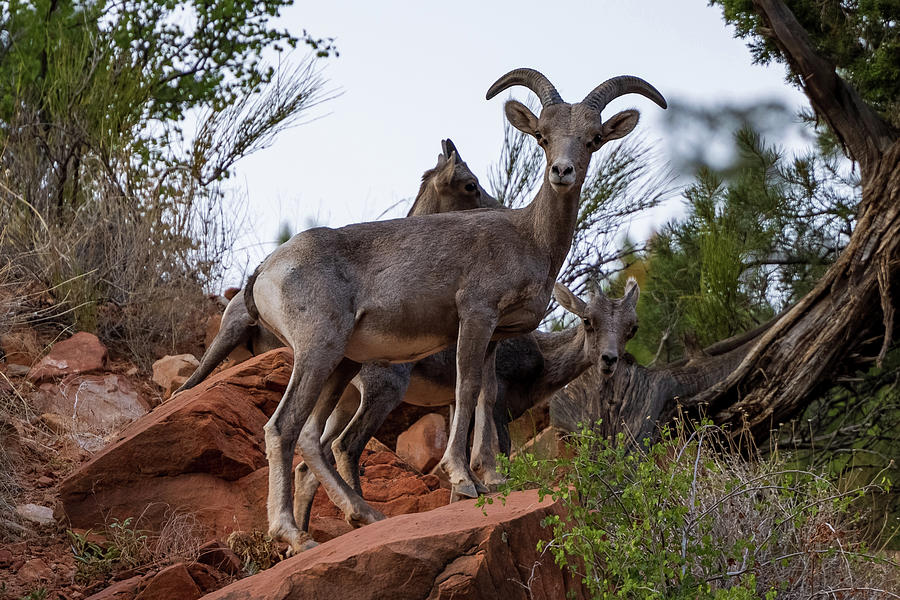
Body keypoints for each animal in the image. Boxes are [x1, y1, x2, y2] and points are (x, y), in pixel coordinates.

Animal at [290, 278, 640, 532]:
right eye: (588, 320)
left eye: (631, 328)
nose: (609, 360)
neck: (541, 360)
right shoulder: (499, 399)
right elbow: (501, 449)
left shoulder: (453, 404)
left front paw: (462, 497)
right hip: (382, 389)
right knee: (345, 445)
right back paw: (363, 518)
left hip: (346, 399)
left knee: (309, 461)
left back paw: (300, 542)